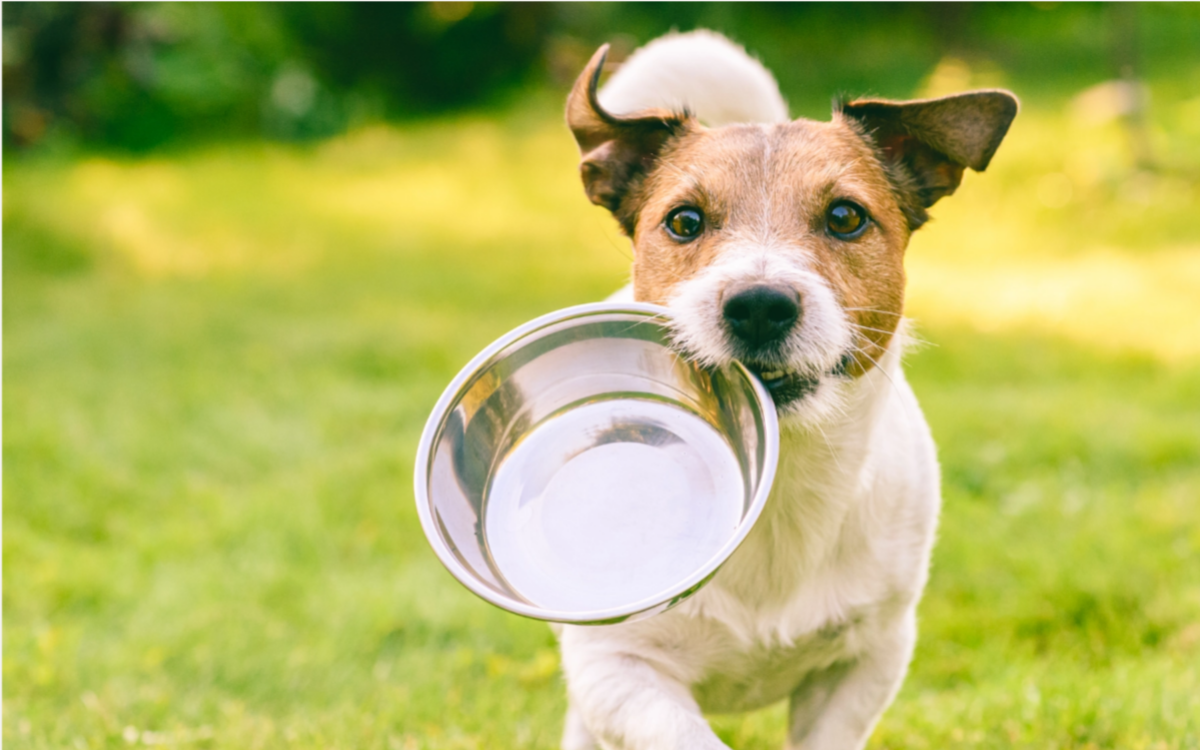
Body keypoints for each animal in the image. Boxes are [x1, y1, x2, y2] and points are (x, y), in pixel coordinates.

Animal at [549, 30, 1012, 748]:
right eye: (684, 222)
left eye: (846, 216)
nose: (759, 305)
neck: (780, 481)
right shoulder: (617, 668)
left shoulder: (868, 659)